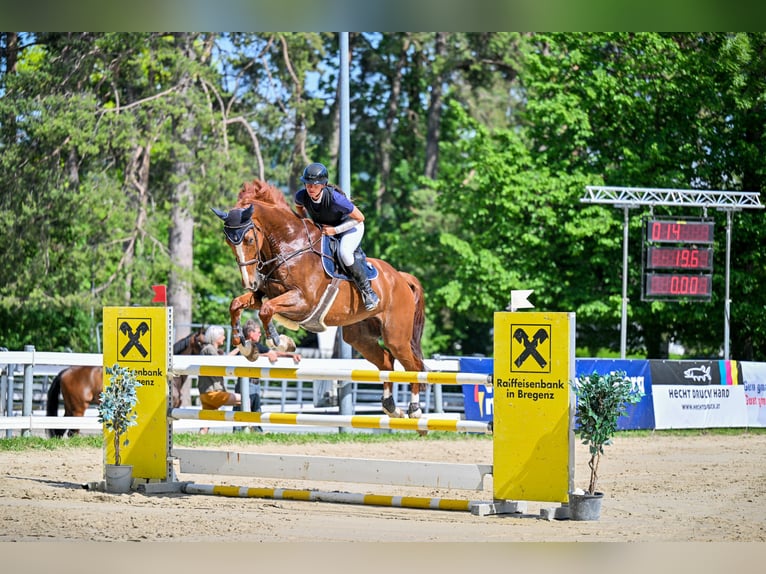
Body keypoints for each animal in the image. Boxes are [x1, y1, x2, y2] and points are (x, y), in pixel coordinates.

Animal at [212, 179, 427, 420]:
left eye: (249, 239)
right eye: (229, 242)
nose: (249, 282)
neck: (289, 246)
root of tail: (400, 277)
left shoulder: (304, 303)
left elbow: (266, 310)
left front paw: (280, 342)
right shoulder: (262, 295)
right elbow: (237, 305)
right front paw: (244, 344)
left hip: (396, 336)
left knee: (414, 366)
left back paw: (414, 409)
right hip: (359, 337)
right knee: (387, 362)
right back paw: (391, 407)